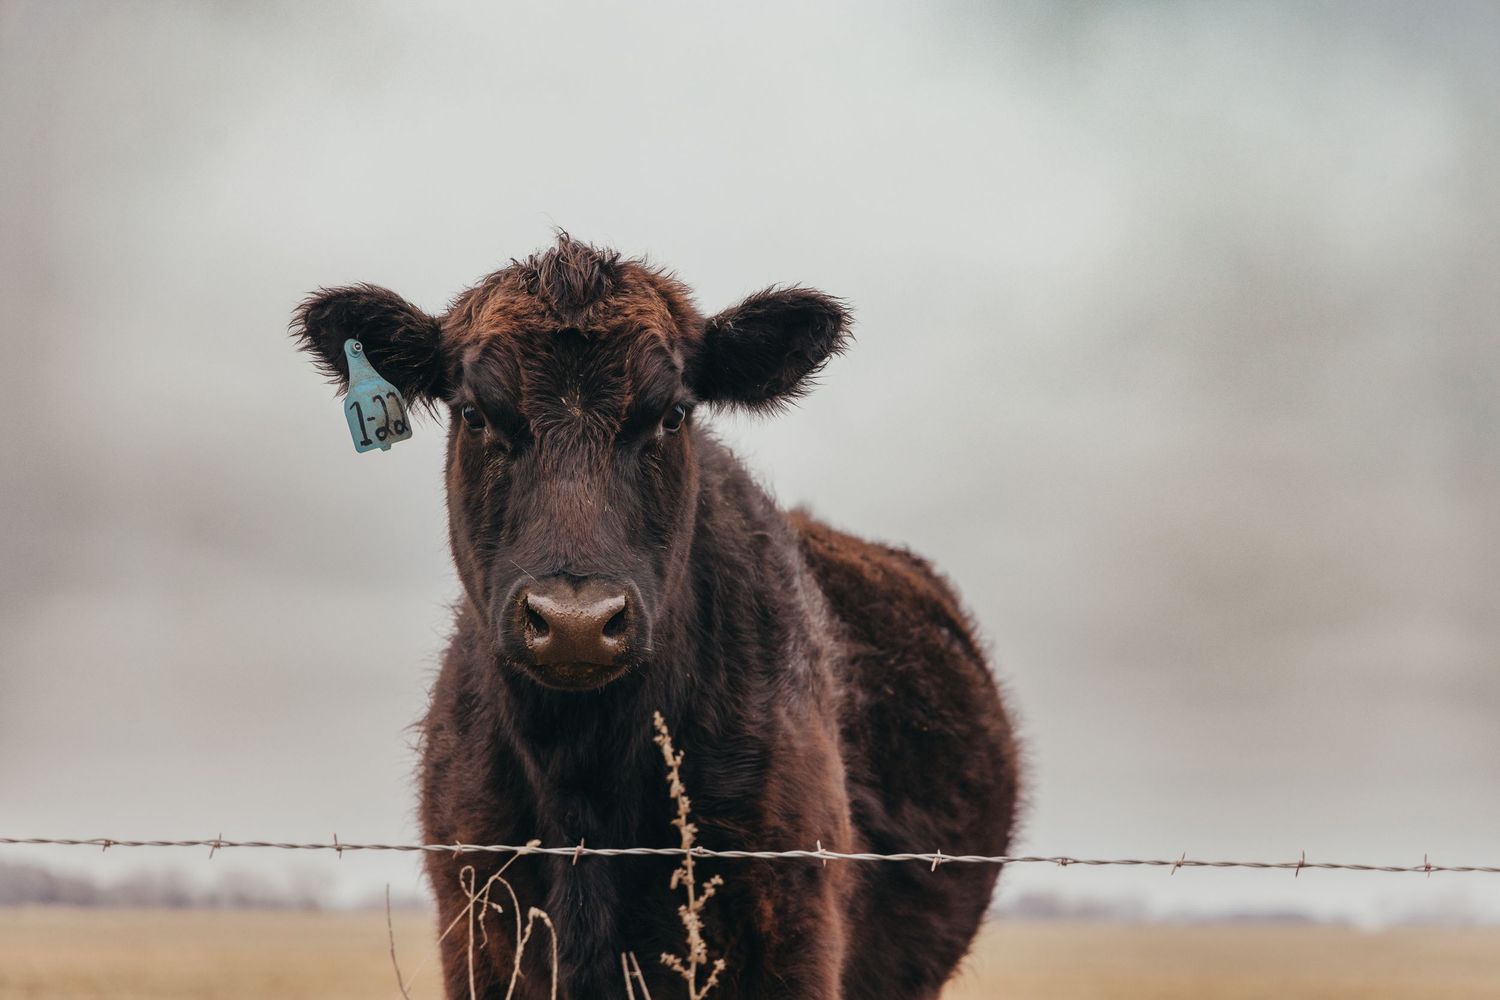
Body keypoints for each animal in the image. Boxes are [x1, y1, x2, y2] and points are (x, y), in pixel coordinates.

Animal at [292, 235, 1019, 999]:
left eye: (671, 414)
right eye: (475, 413)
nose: (575, 620)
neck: (582, 780)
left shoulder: (794, 933)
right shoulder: (477, 932)